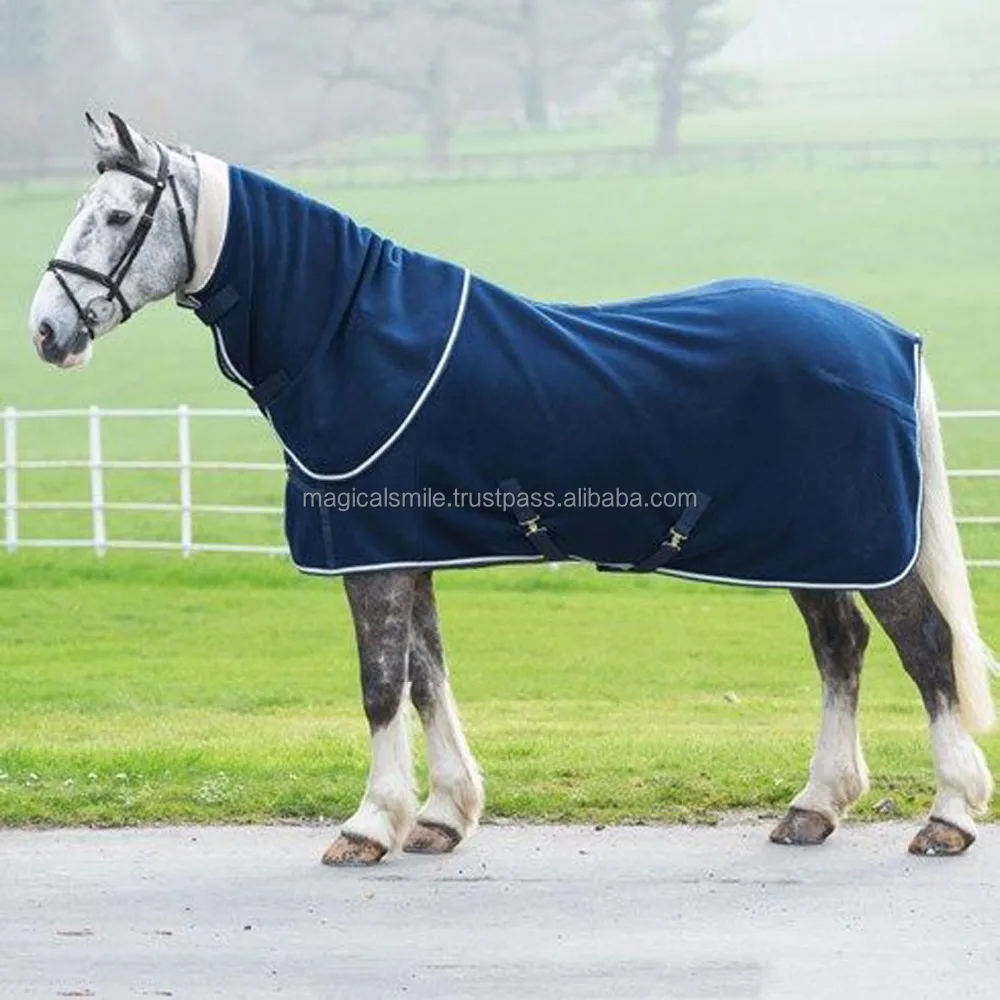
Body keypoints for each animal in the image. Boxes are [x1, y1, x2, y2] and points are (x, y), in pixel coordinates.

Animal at [28, 113, 995, 863]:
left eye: (117, 214)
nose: (44, 332)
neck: (350, 337)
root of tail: (887, 337)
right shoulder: (406, 550)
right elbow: (426, 678)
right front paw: (442, 817)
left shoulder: (372, 559)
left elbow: (380, 686)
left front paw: (369, 825)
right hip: (816, 548)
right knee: (841, 649)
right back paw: (814, 807)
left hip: (860, 544)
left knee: (926, 649)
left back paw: (947, 817)